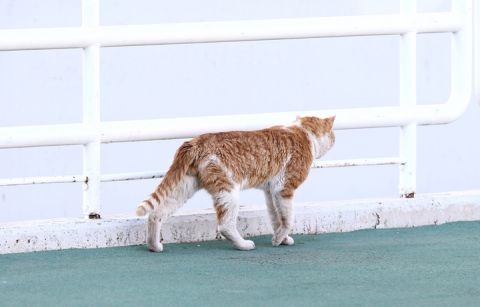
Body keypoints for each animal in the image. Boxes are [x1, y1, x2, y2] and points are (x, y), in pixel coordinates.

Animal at [137, 115, 336, 253]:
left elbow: (276, 218)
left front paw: (281, 239)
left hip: (183, 188)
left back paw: (154, 246)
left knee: (156, 214)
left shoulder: (271, 192)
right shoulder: (284, 189)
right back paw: (243, 245)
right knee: (225, 225)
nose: (334, 139)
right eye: (333, 135)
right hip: (228, 191)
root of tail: (195, 142)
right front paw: (278, 239)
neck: (303, 133)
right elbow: (287, 219)